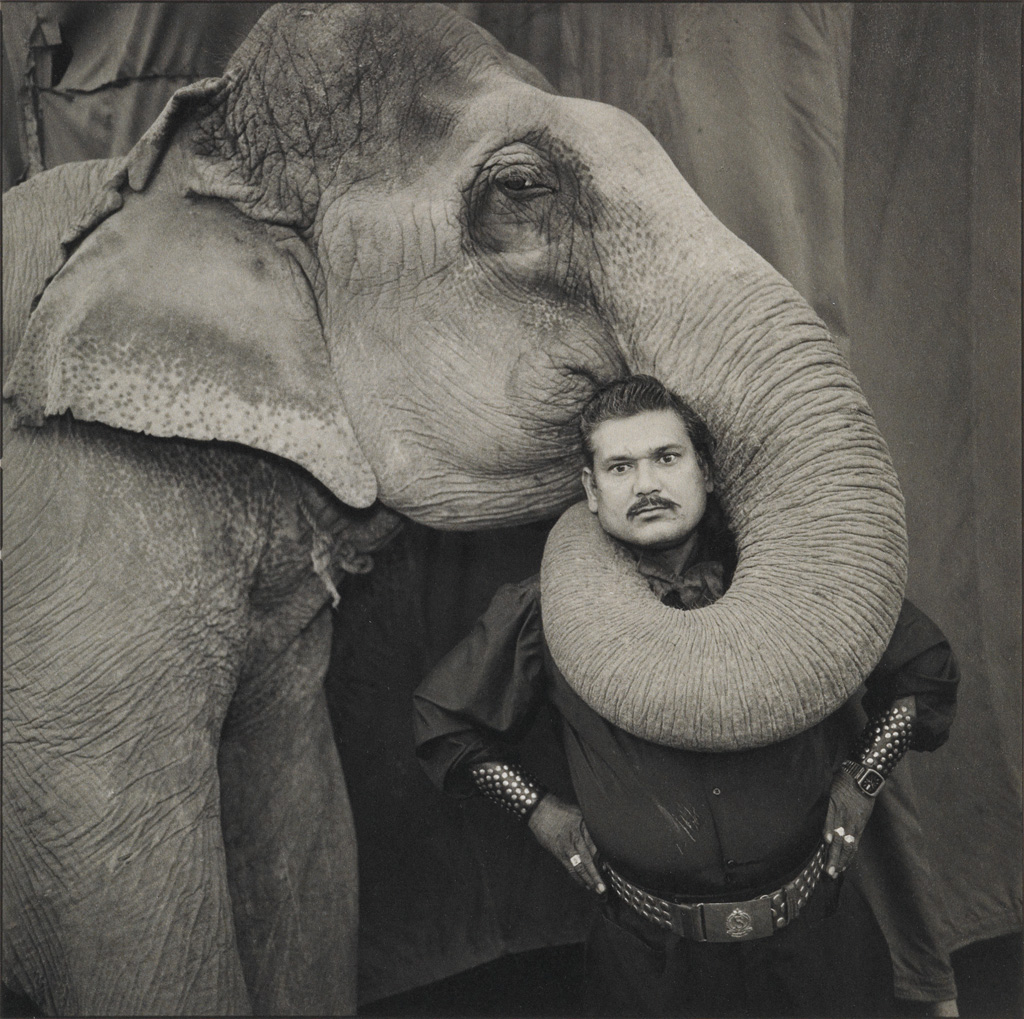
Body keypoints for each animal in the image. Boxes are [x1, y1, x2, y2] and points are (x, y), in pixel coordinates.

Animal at [6, 3, 905, 1015]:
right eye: (521, 186)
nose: (630, 490)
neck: (156, 177)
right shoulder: (76, 576)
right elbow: (130, 924)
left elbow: (308, 840)